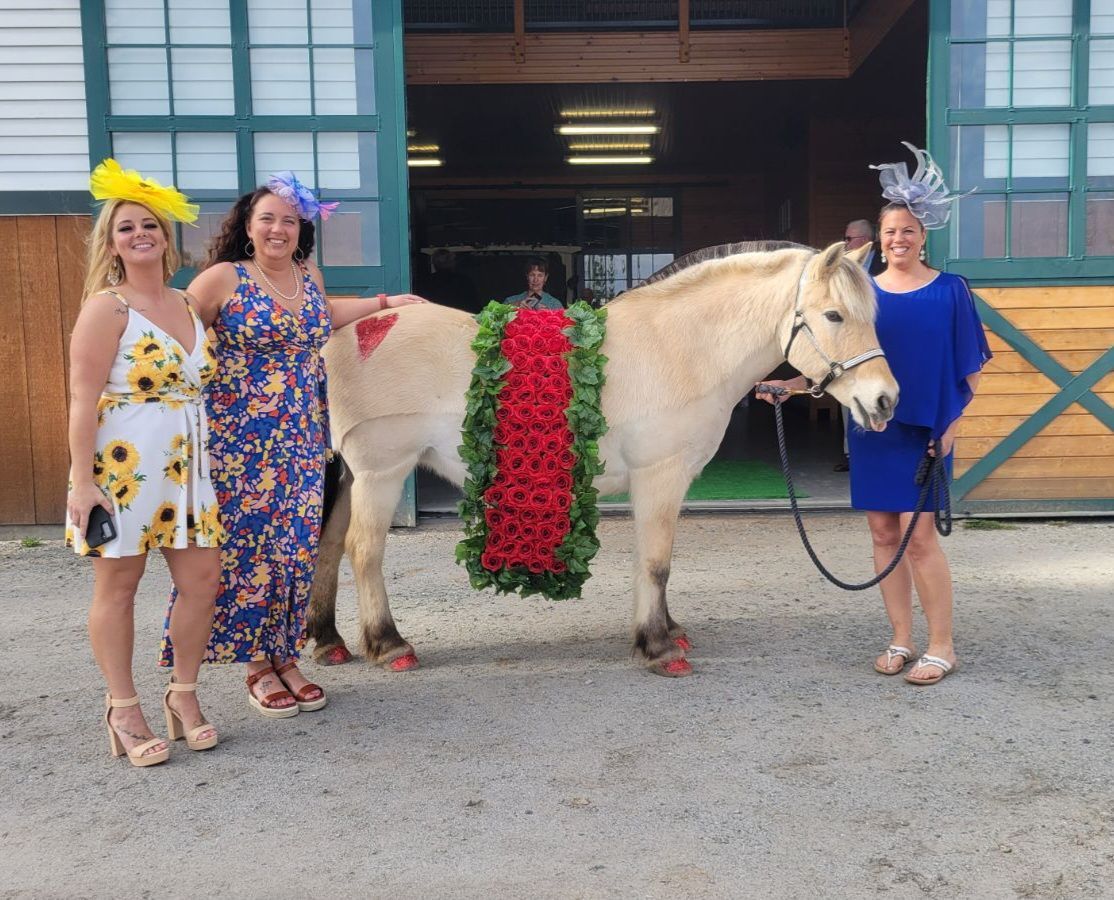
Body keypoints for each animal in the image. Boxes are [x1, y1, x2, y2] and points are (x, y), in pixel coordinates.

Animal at [309, 239, 900, 677]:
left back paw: (328, 639)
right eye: (834, 314)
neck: (680, 347)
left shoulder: (661, 482)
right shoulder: (660, 476)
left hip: (350, 475)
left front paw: (662, 632)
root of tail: (340, 333)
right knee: (364, 550)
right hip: (382, 472)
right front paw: (659, 648)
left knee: (330, 544)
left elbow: (651, 560)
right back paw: (388, 645)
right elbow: (658, 562)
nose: (884, 401)